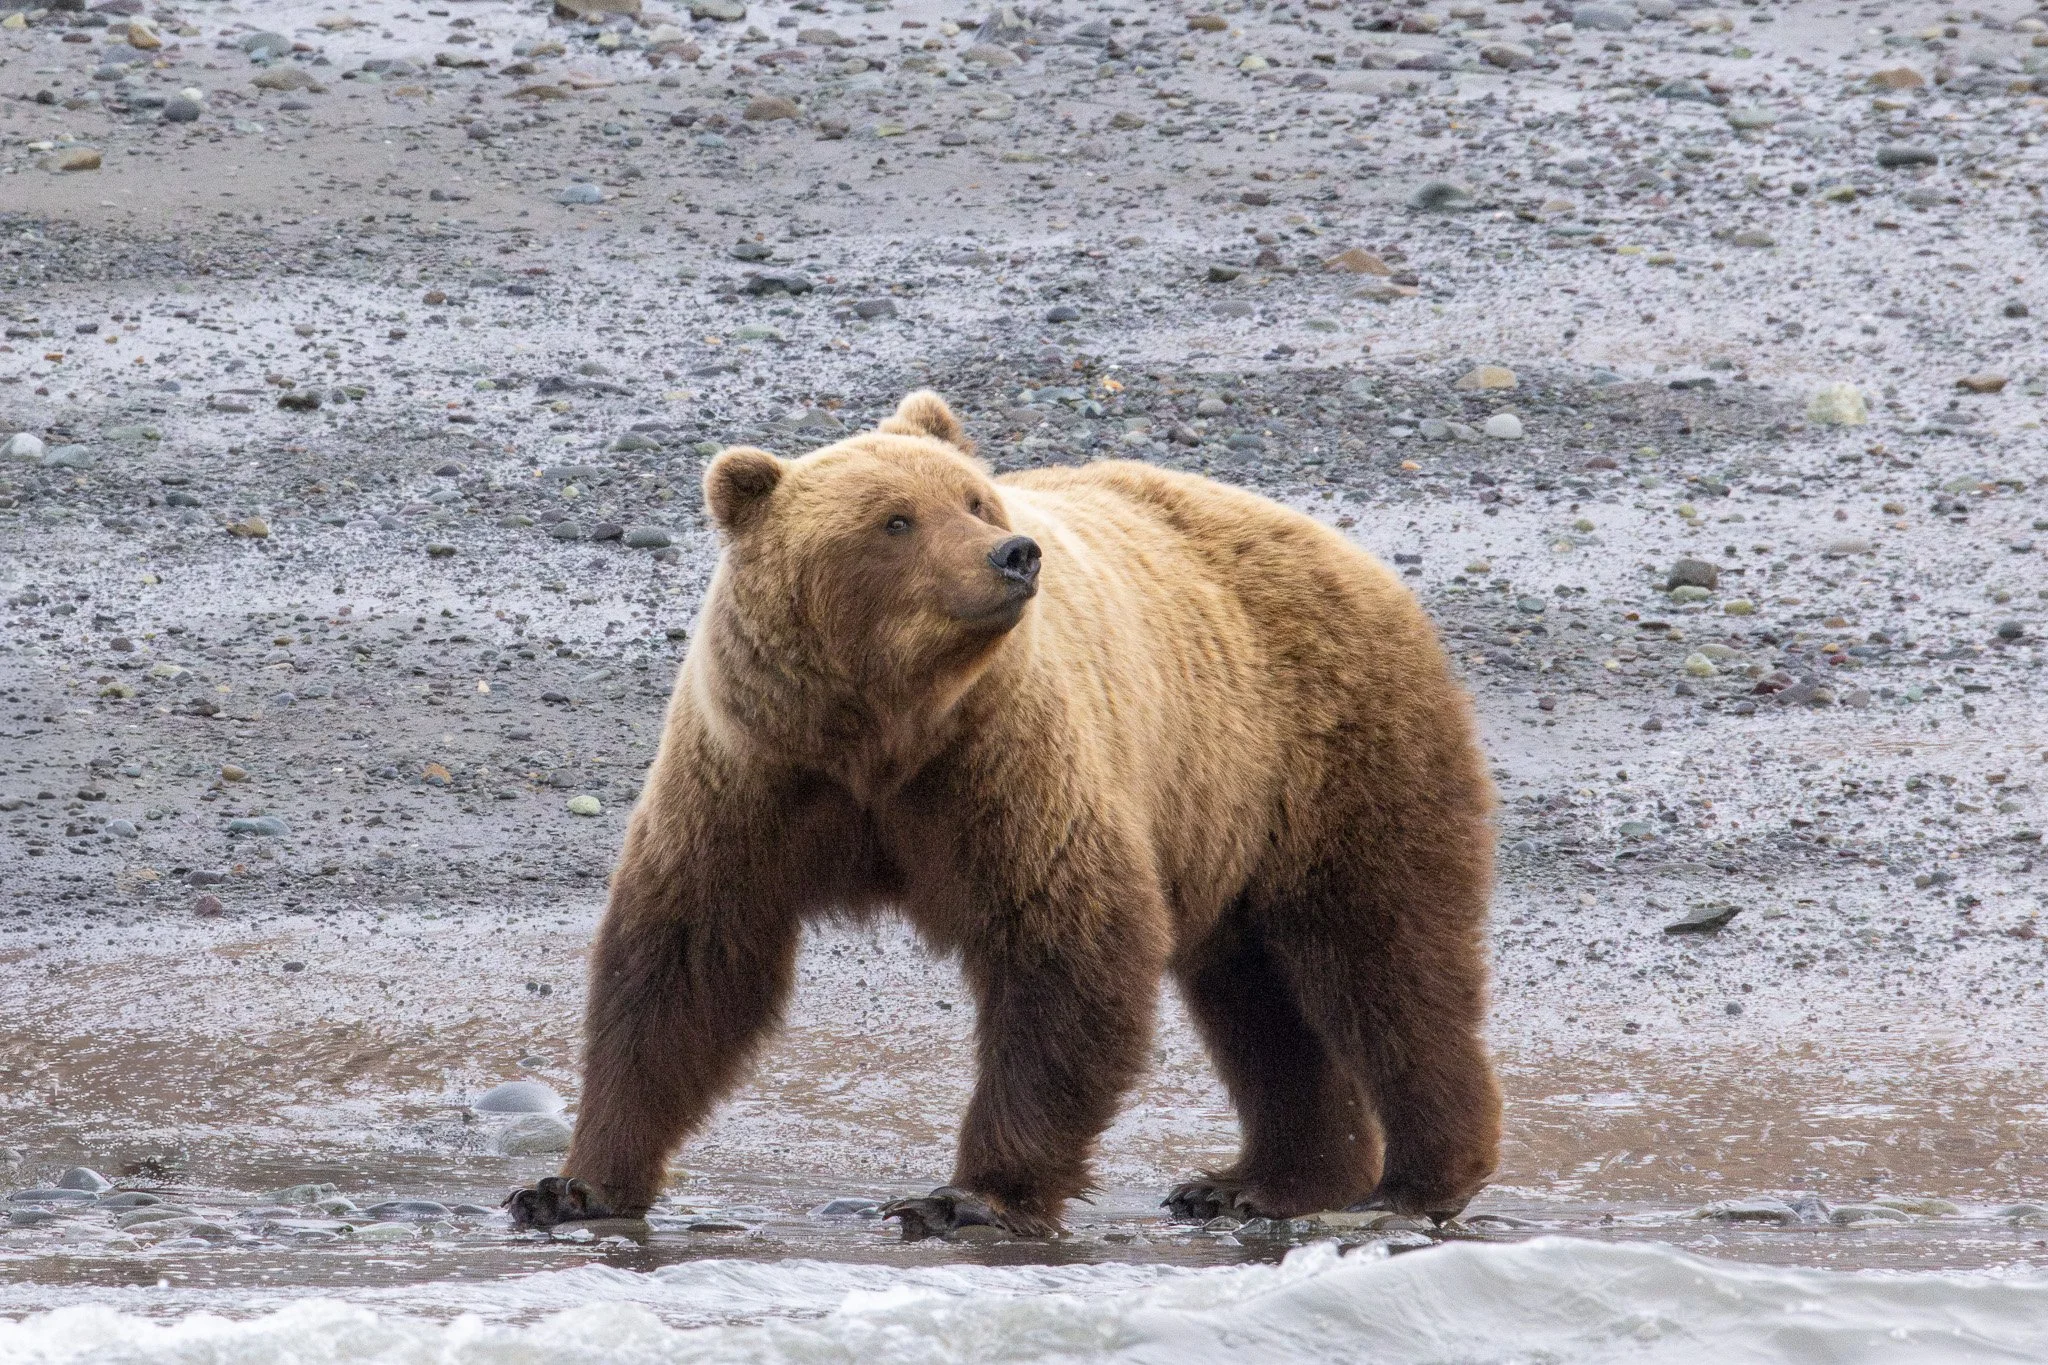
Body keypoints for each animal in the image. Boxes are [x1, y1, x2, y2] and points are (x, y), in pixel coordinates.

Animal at [505, 390, 1502, 1239]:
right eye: (895, 520)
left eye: (974, 499)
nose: (1014, 552)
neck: (880, 731)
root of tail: (1354, 553)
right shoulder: (753, 774)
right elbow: (685, 960)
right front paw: (575, 1183)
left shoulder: (1003, 764)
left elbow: (1062, 943)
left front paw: (969, 1195)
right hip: (1231, 820)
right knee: (1258, 998)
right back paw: (1259, 1180)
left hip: (1328, 754)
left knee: (1385, 960)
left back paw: (1412, 1180)